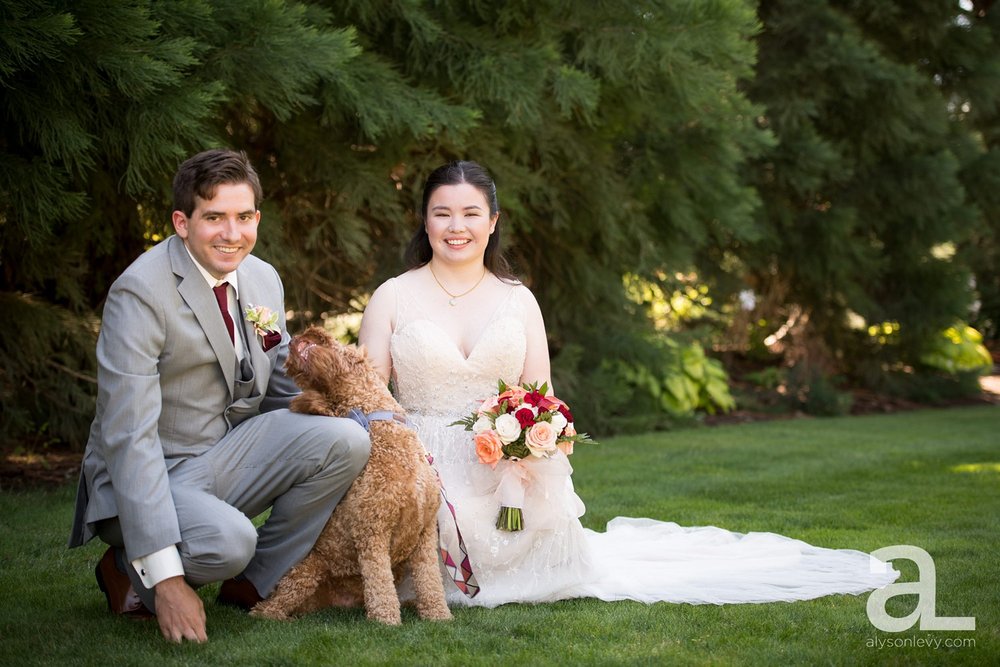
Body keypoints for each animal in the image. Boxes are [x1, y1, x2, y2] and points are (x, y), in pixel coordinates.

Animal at [248, 328, 452, 628]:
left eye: (347, 351)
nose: (306, 333)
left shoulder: (424, 533)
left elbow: (430, 582)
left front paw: (439, 616)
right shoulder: (373, 533)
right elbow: (380, 585)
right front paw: (386, 621)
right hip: (305, 571)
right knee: (267, 608)